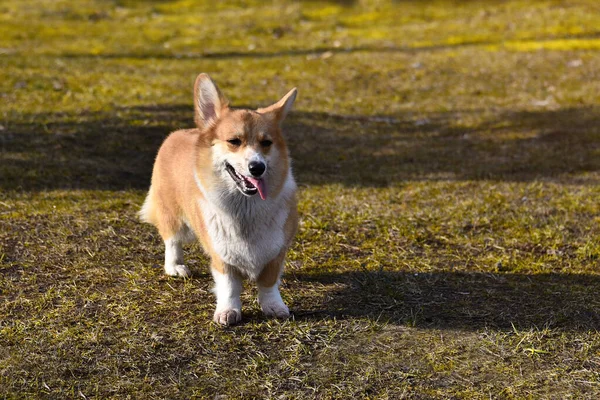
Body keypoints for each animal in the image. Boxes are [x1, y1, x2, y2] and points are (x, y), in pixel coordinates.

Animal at [141, 74, 300, 324]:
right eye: (234, 141)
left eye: (266, 143)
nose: (257, 168)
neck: (245, 209)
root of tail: (181, 132)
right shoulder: (220, 253)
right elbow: (229, 286)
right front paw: (228, 311)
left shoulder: (276, 250)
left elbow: (269, 282)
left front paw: (274, 306)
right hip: (171, 212)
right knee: (171, 239)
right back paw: (175, 266)